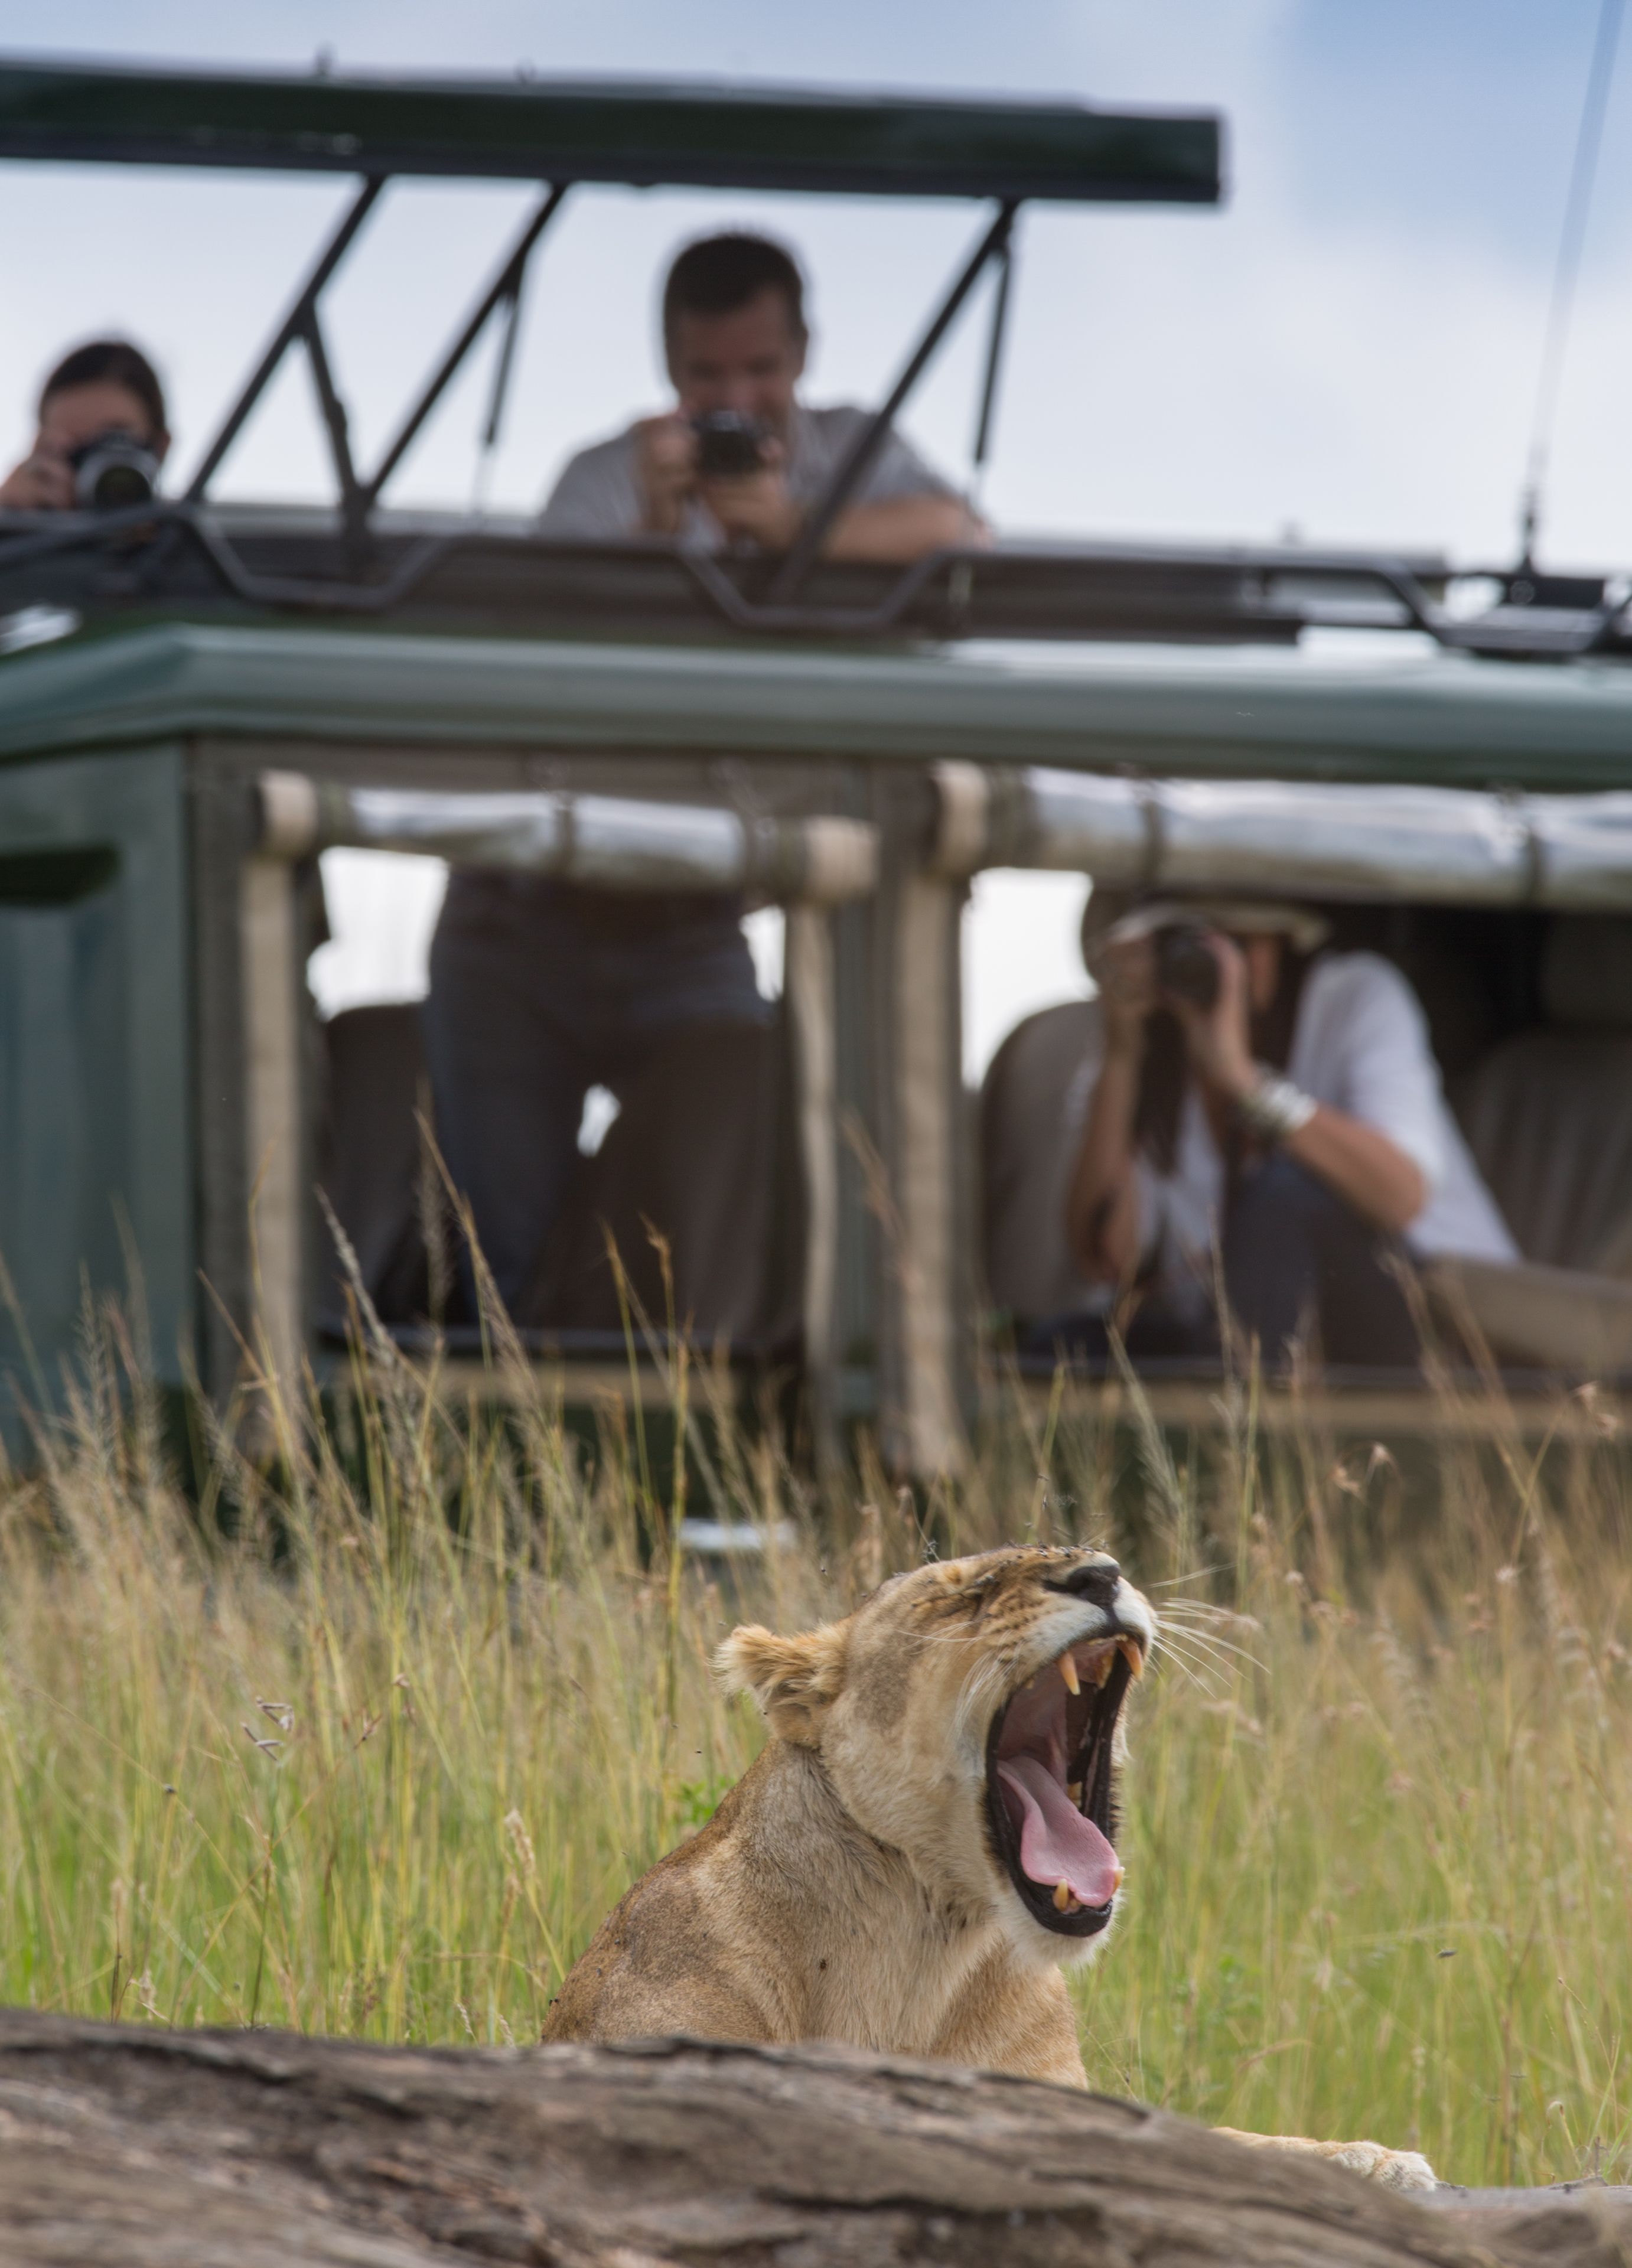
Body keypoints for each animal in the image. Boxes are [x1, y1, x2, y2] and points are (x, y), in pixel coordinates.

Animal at [544, 1543, 1436, 2192]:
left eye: (1102, 1560)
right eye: (963, 1595)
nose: (1101, 1574)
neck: (920, 1944)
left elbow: (1220, 2142)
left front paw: (1369, 2161)